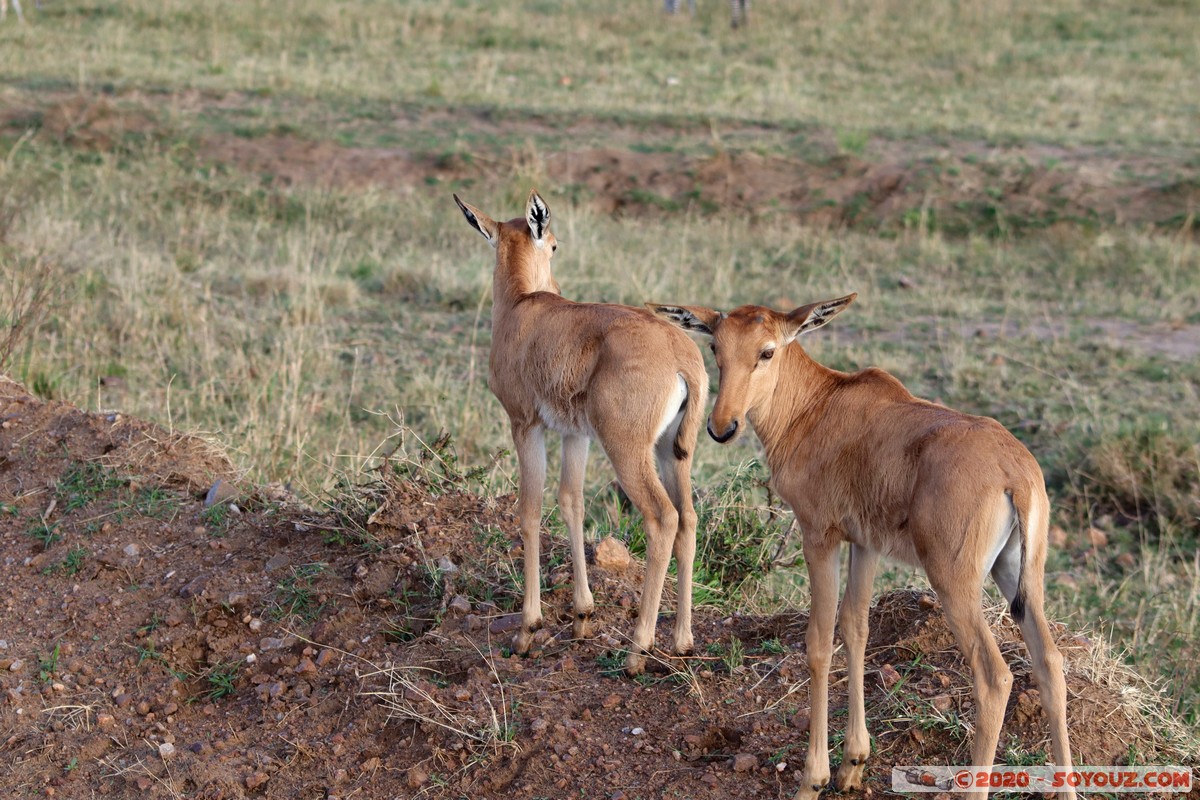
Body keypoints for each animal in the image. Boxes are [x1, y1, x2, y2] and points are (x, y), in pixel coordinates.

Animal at [453, 189, 705, 676]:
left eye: (554, 244)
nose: (555, 284)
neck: (526, 308)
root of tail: (681, 354)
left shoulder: (525, 425)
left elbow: (529, 509)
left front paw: (527, 631)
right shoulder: (576, 435)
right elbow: (572, 502)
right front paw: (582, 617)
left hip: (628, 451)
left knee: (662, 518)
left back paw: (636, 651)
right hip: (672, 451)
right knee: (687, 517)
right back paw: (682, 641)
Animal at [652, 293, 1075, 800]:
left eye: (767, 351)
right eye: (716, 347)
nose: (722, 426)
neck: (820, 404)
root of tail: (1015, 474)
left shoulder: (820, 535)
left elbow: (819, 641)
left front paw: (813, 779)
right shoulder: (866, 543)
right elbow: (856, 628)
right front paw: (853, 763)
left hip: (955, 582)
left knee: (995, 678)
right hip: (1018, 575)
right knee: (1050, 664)